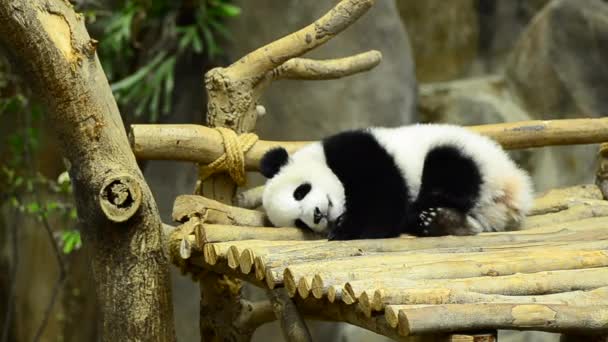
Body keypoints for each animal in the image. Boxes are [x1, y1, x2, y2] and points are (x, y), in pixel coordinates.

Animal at [258, 123, 536, 240]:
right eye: (299, 223)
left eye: (300, 191)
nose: (316, 215)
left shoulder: (357, 152)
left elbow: (383, 201)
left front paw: (346, 229)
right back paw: (443, 221)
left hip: (474, 159)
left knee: (449, 170)